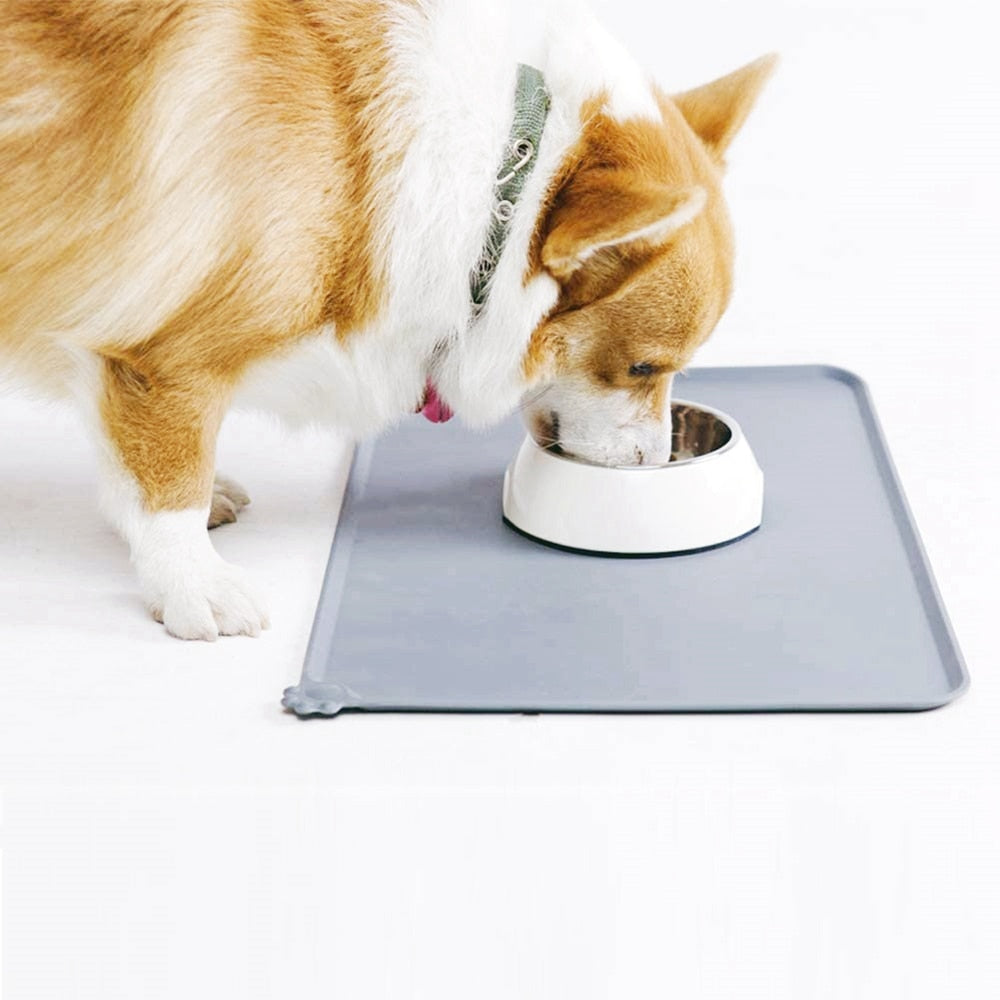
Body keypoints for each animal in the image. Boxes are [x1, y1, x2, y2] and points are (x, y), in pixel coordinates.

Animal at [0, 1, 772, 640]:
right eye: (643, 367)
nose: (659, 463)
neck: (498, 190)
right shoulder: (158, 358)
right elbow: (169, 483)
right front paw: (195, 586)